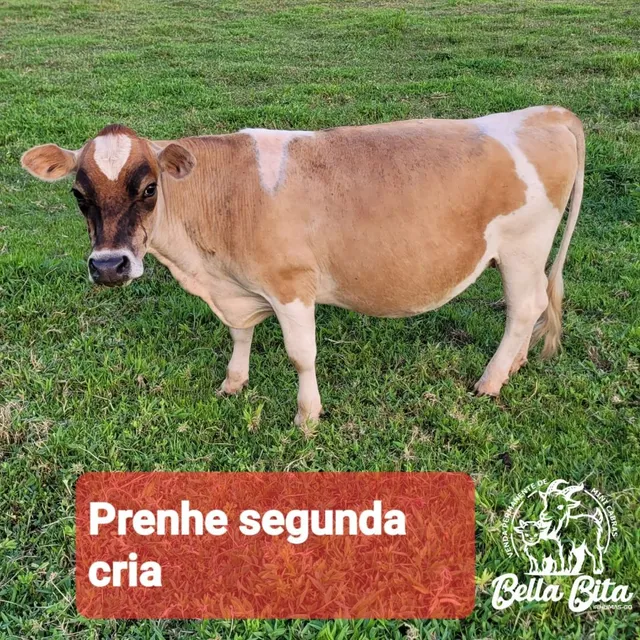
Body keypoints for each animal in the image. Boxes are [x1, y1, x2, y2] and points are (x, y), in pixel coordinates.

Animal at [21, 106, 585, 425]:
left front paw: (307, 417)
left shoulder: (291, 285)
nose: (109, 266)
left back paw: (490, 381)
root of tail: (548, 111)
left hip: (522, 247)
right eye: (78, 195)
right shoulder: (239, 290)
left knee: (523, 308)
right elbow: (240, 334)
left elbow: (301, 355)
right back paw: (512, 367)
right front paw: (234, 382)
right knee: (533, 307)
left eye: (149, 188)